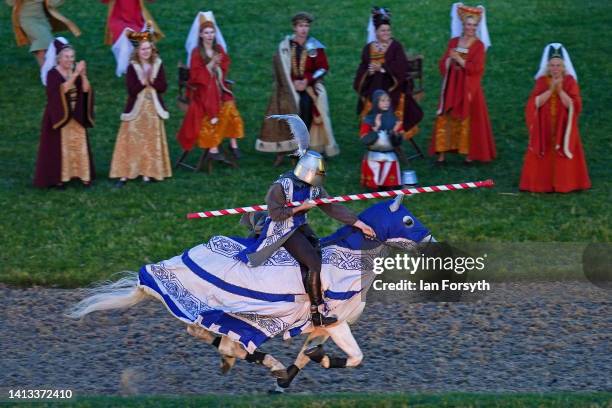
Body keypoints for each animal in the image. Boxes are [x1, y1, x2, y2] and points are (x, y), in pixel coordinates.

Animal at [67, 195, 432, 392]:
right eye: (408, 220)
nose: (430, 241)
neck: (348, 258)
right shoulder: (336, 322)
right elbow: (354, 357)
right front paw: (316, 363)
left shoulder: (318, 328)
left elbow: (306, 355)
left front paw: (286, 380)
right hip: (238, 317)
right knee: (224, 339)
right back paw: (255, 360)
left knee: (206, 334)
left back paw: (244, 361)